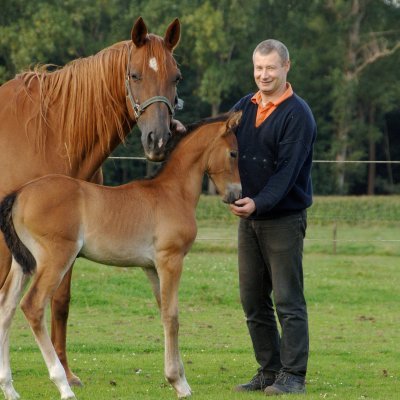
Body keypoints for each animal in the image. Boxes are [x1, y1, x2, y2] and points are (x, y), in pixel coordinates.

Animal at [0, 111, 241, 398]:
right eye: (234, 153)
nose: (236, 195)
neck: (172, 192)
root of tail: (19, 194)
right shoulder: (170, 260)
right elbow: (172, 316)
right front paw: (180, 383)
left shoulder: (151, 267)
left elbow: (163, 312)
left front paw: (176, 378)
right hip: (56, 259)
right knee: (32, 306)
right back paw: (63, 385)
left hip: (24, 263)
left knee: (6, 308)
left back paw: (9, 388)